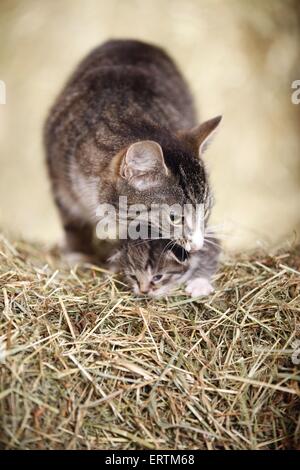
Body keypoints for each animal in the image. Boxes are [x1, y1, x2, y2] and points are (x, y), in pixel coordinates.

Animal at [45, 40, 223, 258]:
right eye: (174, 217)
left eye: (205, 211)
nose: (198, 245)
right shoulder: (58, 179)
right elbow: (72, 221)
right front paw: (79, 251)